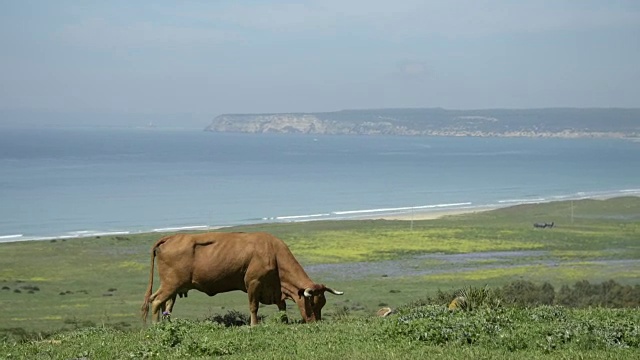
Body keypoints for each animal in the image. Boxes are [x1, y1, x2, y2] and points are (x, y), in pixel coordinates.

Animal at [139, 232, 342, 324]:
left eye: (322, 304)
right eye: (312, 303)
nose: (316, 322)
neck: (273, 253)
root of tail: (171, 237)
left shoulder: (275, 289)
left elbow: (282, 307)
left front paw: (284, 322)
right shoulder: (252, 283)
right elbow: (253, 306)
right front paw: (254, 325)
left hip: (174, 287)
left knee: (165, 305)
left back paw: (167, 324)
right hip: (171, 284)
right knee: (156, 301)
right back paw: (156, 326)